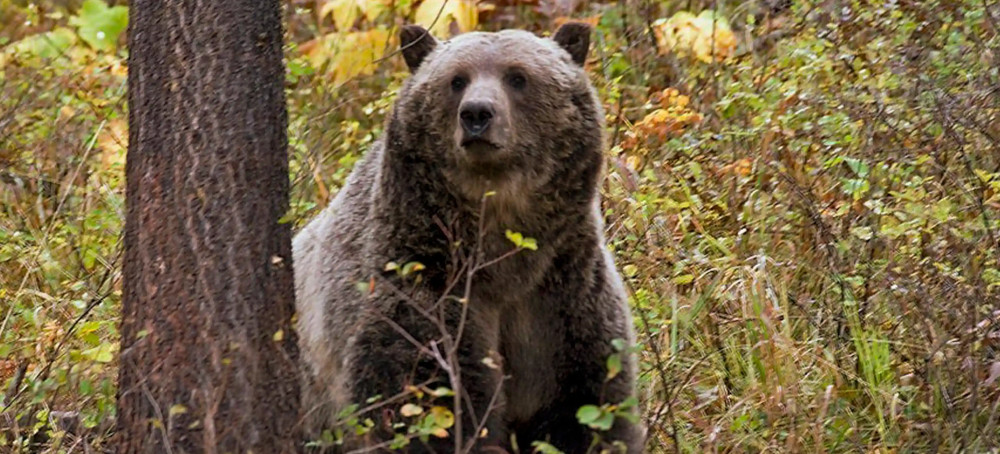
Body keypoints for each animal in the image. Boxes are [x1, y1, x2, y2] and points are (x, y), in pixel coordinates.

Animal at [292, 22, 644, 454]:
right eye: (456, 80)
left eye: (517, 77)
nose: (477, 114)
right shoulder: (420, 281)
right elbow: (426, 402)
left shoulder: (562, 296)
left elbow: (589, 408)